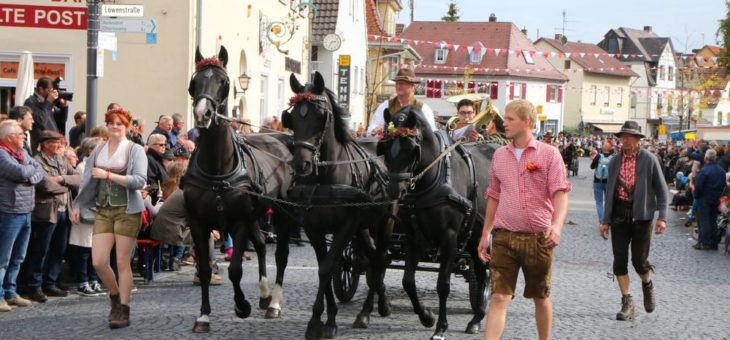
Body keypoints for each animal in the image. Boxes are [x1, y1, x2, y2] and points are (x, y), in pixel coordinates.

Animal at [183, 46, 294, 334]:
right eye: (195, 82)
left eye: (223, 81)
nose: (202, 114)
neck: (217, 168)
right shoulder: (198, 222)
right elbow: (205, 269)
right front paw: (203, 316)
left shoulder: (239, 221)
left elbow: (234, 270)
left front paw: (242, 306)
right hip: (257, 213)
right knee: (262, 245)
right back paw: (265, 296)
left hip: (282, 213)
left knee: (281, 255)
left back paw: (274, 303)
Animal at [280, 71, 392, 338]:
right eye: (291, 117)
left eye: (320, 117)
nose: (301, 165)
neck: (325, 176)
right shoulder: (314, 228)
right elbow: (325, 268)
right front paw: (320, 319)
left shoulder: (345, 227)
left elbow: (329, 267)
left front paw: (326, 322)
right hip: (364, 227)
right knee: (371, 258)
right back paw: (378, 301)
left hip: (385, 222)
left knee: (380, 259)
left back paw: (368, 311)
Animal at [376, 105, 494, 338]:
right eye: (385, 146)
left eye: (412, 149)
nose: (395, 191)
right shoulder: (413, 236)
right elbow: (408, 281)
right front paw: (426, 316)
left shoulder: (449, 237)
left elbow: (443, 284)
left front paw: (441, 326)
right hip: (475, 236)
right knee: (481, 270)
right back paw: (476, 319)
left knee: (487, 270)